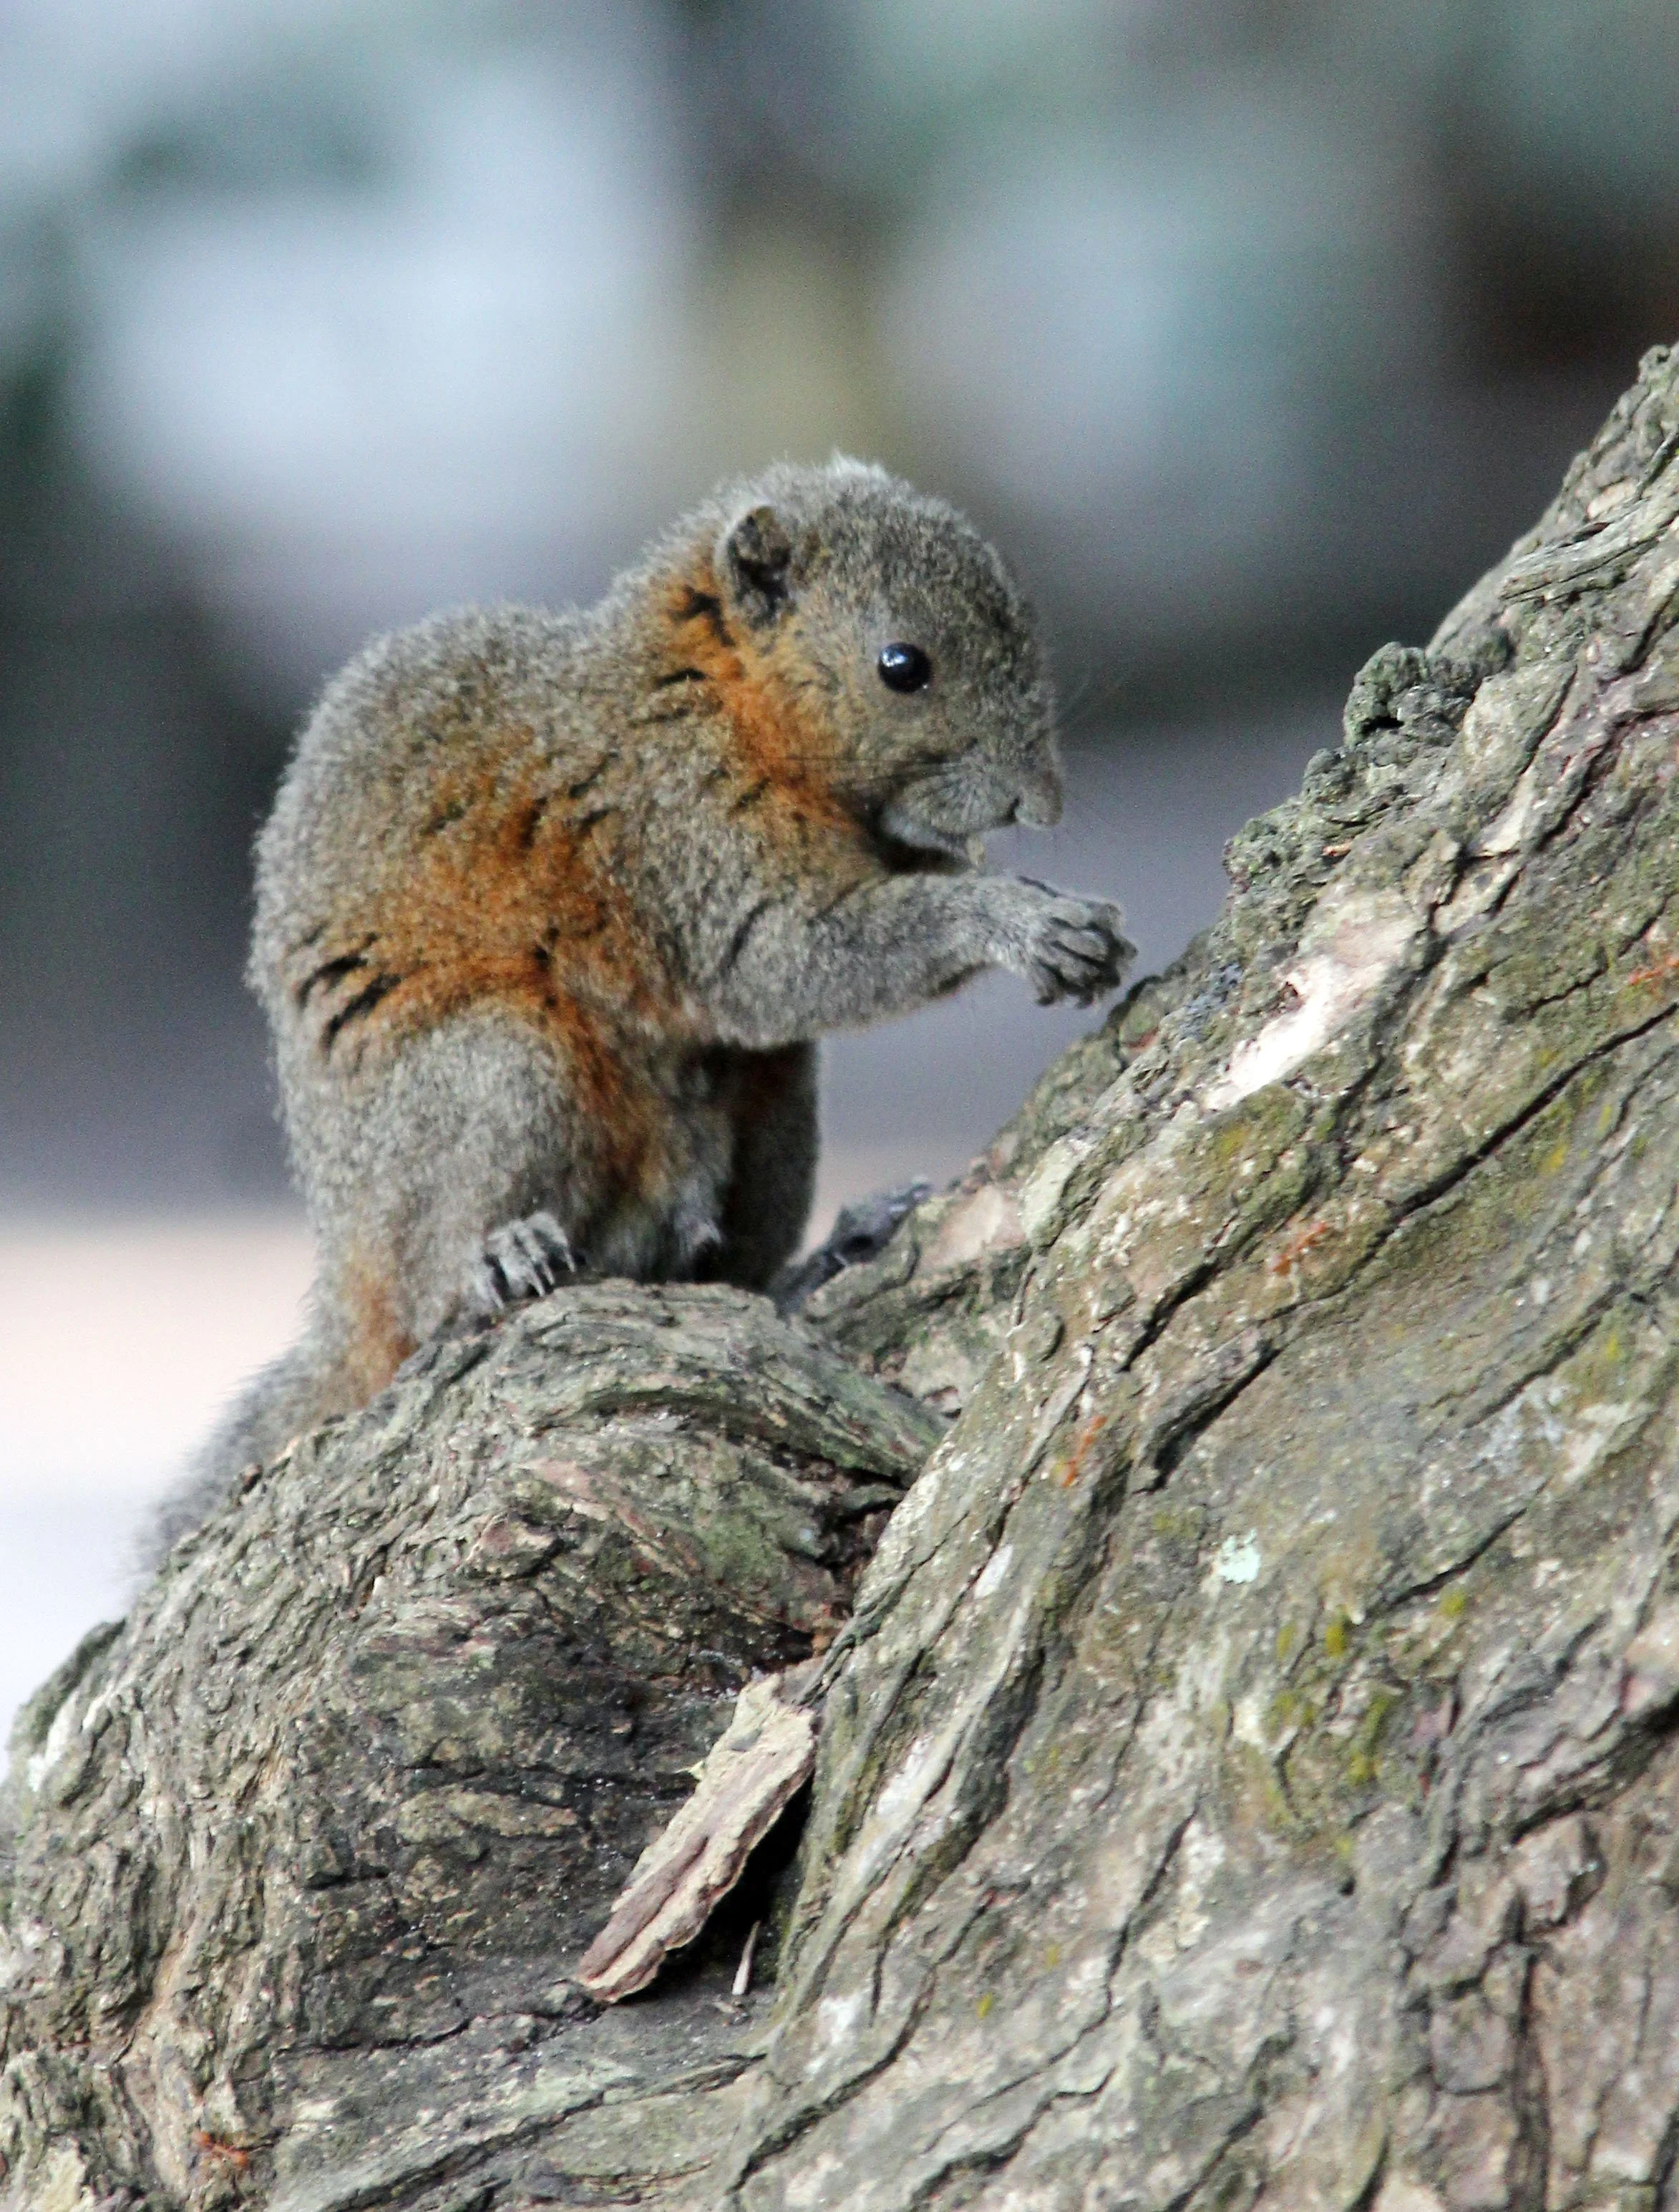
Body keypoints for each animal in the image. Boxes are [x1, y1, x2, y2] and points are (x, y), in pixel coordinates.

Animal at [154, 459, 1132, 1553]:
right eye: (902, 665)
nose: (1041, 803)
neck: (720, 698)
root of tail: (341, 1276)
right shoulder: (676, 837)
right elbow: (787, 962)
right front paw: (1017, 919)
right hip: (492, 1074)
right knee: (431, 1289)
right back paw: (495, 1257)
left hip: (775, 1120)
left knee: (727, 1265)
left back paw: (820, 1258)